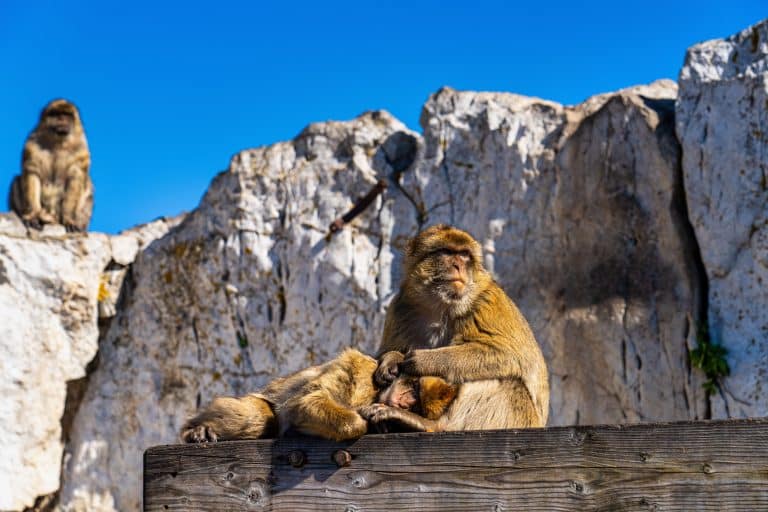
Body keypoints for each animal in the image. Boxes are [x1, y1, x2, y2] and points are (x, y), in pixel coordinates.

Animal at [9, 99, 93, 232]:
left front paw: (68, 219)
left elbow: (75, 178)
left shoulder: (81, 150)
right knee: (16, 180)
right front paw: (33, 215)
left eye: (67, 115)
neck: (58, 142)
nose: (62, 119)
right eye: (56, 114)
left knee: (87, 183)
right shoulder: (32, 145)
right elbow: (32, 174)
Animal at [180, 348, 459, 443]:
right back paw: (194, 430)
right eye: (412, 388)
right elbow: (302, 403)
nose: (405, 402)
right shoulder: (358, 370)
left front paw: (392, 420)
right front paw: (363, 421)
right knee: (259, 417)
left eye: (415, 407)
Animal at [372, 224, 549, 430]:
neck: (441, 305)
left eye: (464, 255)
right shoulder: (399, 307)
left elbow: (508, 354)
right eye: (447, 252)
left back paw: (432, 425)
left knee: (509, 382)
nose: (458, 266)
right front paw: (391, 359)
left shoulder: (486, 302)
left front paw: (424, 360)